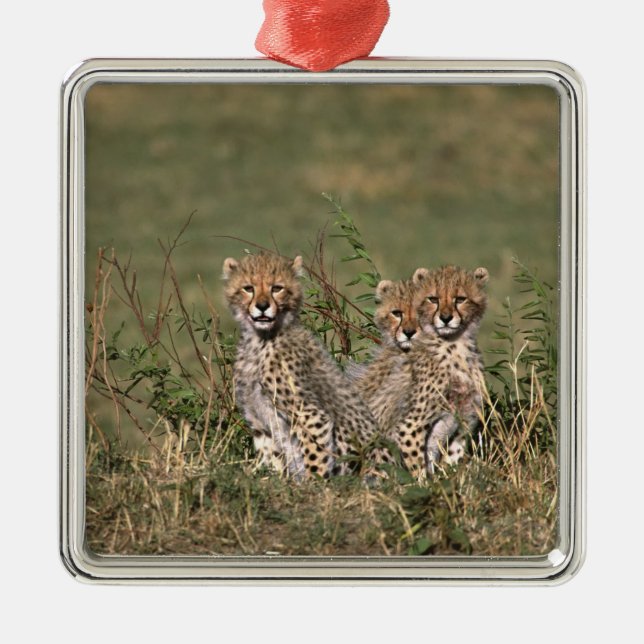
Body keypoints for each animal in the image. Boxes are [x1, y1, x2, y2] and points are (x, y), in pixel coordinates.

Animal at [223, 252, 379, 479]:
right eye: (248, 288)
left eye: (277, 288)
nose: (262, 306)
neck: (261, 340)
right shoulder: (259, 421)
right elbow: (271, 458)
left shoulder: (311, 415)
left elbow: (315, 457)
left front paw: (316, 484)